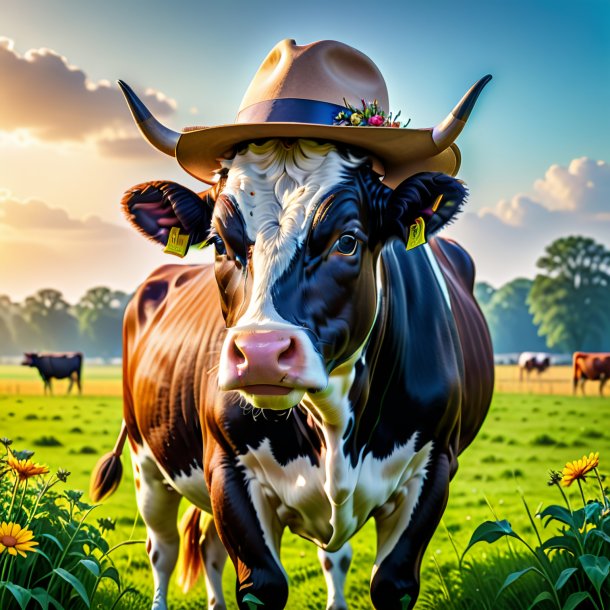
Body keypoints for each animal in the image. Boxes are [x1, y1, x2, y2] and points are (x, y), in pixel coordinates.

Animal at [88, 40, 492, 608]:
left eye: (347, 240)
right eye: (219, 242)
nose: (260, 352)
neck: (335, 421)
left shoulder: (434, 470)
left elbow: (389, 582)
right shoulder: (227, 468)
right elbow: (261, 584)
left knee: (235, 547)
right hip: (151, 463)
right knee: (163, 550)